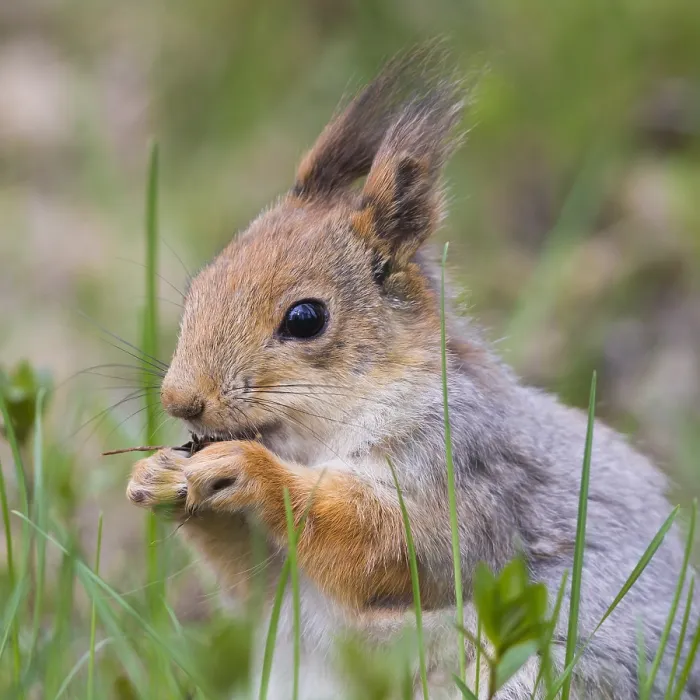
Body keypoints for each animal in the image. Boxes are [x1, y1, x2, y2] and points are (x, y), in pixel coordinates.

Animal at [126, 49, 700, 699]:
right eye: (200, 283)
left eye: (306, 318)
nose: (180, 400)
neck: (317, 437)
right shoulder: (280, 584)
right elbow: (253, 579)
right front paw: (155, 476)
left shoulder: (467, 467)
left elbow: (394, 547)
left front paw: (247, 471)